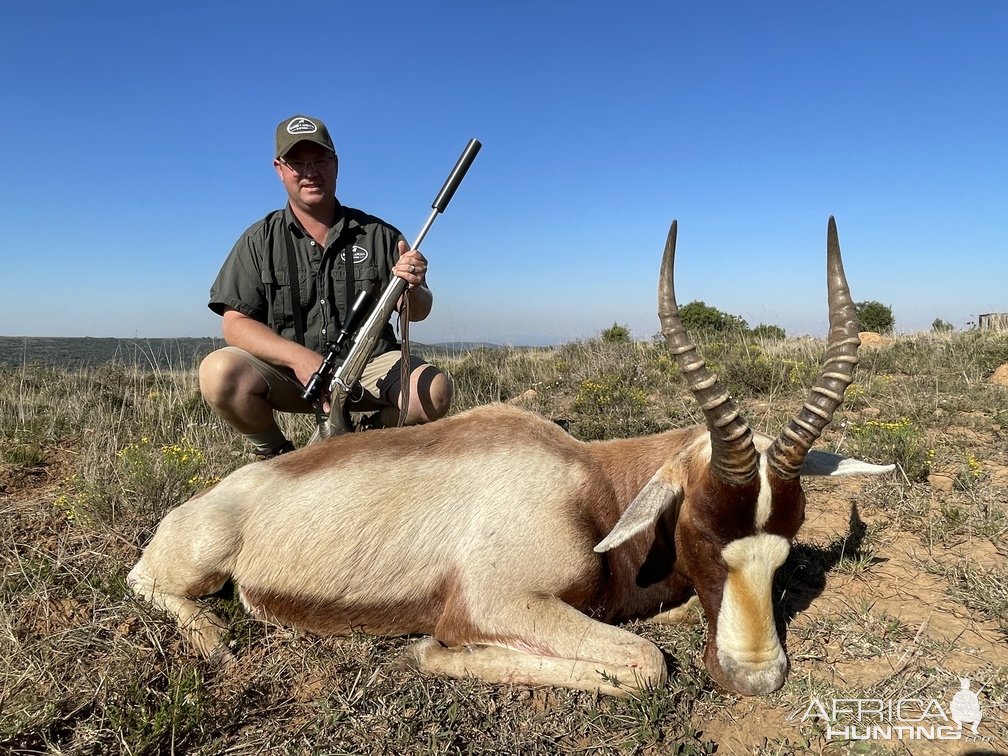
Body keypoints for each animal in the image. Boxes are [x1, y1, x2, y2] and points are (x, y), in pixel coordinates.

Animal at [130, 217, 895, 697]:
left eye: (788, 542)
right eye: (705, 532)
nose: (755, 678)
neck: (589, 482)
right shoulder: (499, 601)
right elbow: (646, 661)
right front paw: (431, 650)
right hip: (196, 565)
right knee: (146, 582)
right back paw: (214, 639)